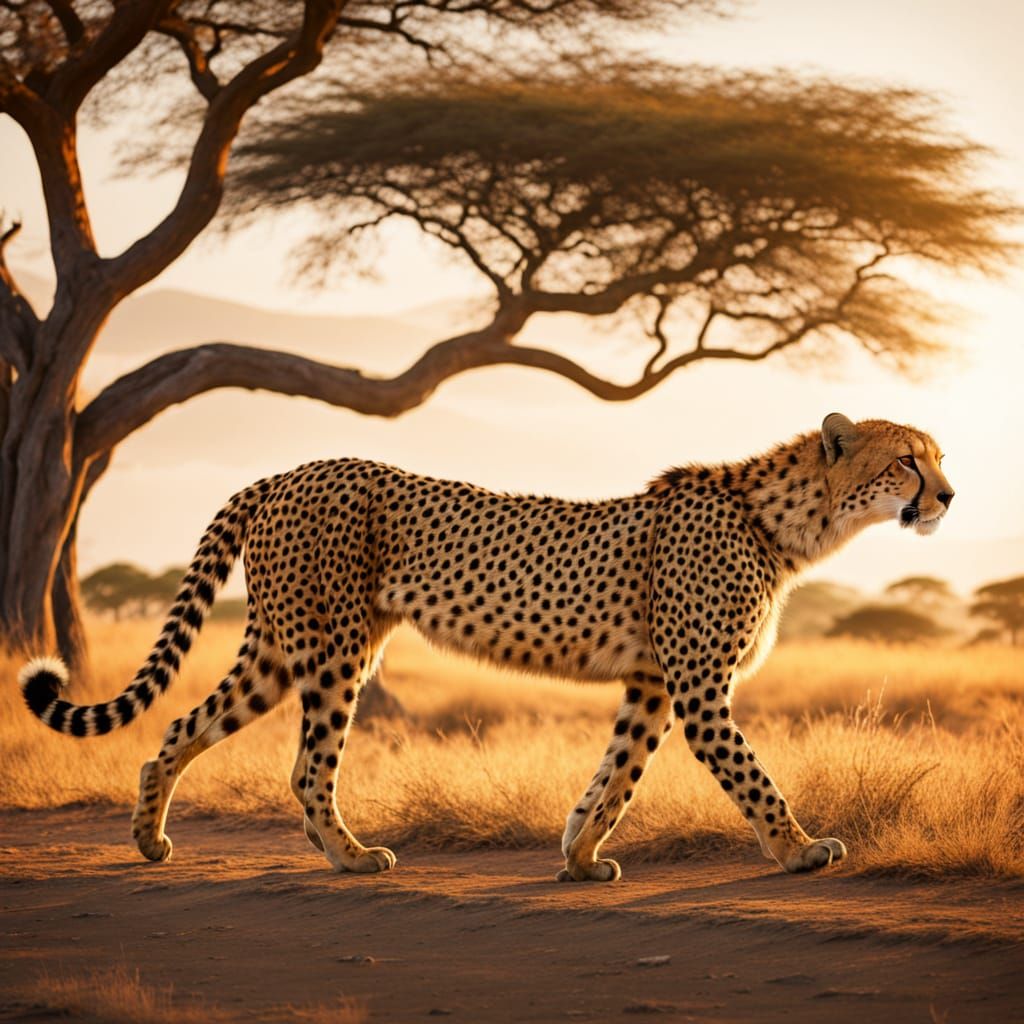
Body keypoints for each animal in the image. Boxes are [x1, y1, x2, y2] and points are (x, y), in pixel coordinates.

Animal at [20, 413, 954, 881]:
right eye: (908, 461)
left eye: (937, 458)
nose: (947, 494)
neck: (786, 520)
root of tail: (290, 471)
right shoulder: (697, 689)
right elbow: (752, 778)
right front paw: (800, 849)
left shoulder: (652, 685)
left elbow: (616, 776)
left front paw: (579, 856)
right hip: (332, 651)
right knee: (307, 768)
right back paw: (350, 857)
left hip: (278, 653)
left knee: (177, 731)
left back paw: (149, 841)